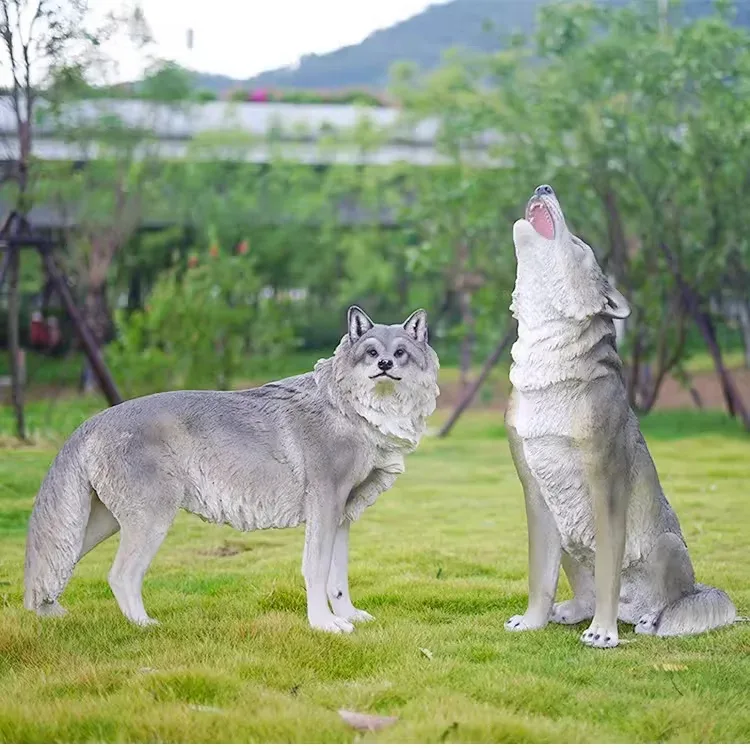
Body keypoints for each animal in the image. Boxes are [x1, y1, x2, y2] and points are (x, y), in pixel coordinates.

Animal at [24, 306, 439, 633]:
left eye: (399, 353)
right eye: (371, 352)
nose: (384, 365)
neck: (352, 411)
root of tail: (93, 421)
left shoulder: (343, 515)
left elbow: (338, 577)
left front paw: (348, 616)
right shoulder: (325, 507)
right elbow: (317, 570)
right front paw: (324, 625)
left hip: (96, 526)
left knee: (54, 567)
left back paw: (52, 616)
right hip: (150, 521)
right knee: (120, 575)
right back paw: (146, 627)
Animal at [504, 184, 736, 648]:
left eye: (578, 245)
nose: (544, 187)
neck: (545, 364)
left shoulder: (606, 482)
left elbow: (610, 570)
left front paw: (603, 635)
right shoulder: (534, 490)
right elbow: (539, 575)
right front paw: (532, 622)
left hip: (667, 545)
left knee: (673, 602)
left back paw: (647, 620)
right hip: (568, 535)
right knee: (584, 590)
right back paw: (572, 611)